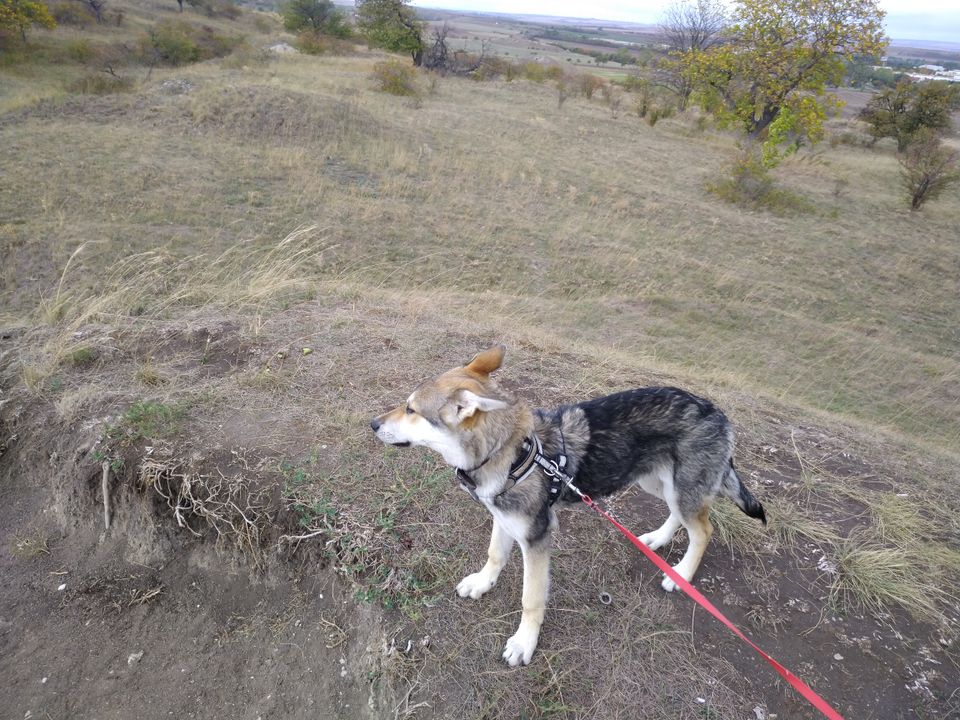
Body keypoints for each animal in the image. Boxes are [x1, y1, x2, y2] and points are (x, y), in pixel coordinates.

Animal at [368, 346, 764, 668]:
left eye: (411, 409)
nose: (372, 423)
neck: (508, 453)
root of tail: (717, 413)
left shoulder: (537, 538)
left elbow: (531, 598)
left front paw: (524, 643)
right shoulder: (503, 517)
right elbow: (494, 555)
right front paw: (482, 582)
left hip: (681, 487)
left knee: (703, 530)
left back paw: (681, 573)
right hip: (656, 481)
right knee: (679, 517)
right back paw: (656, 540)